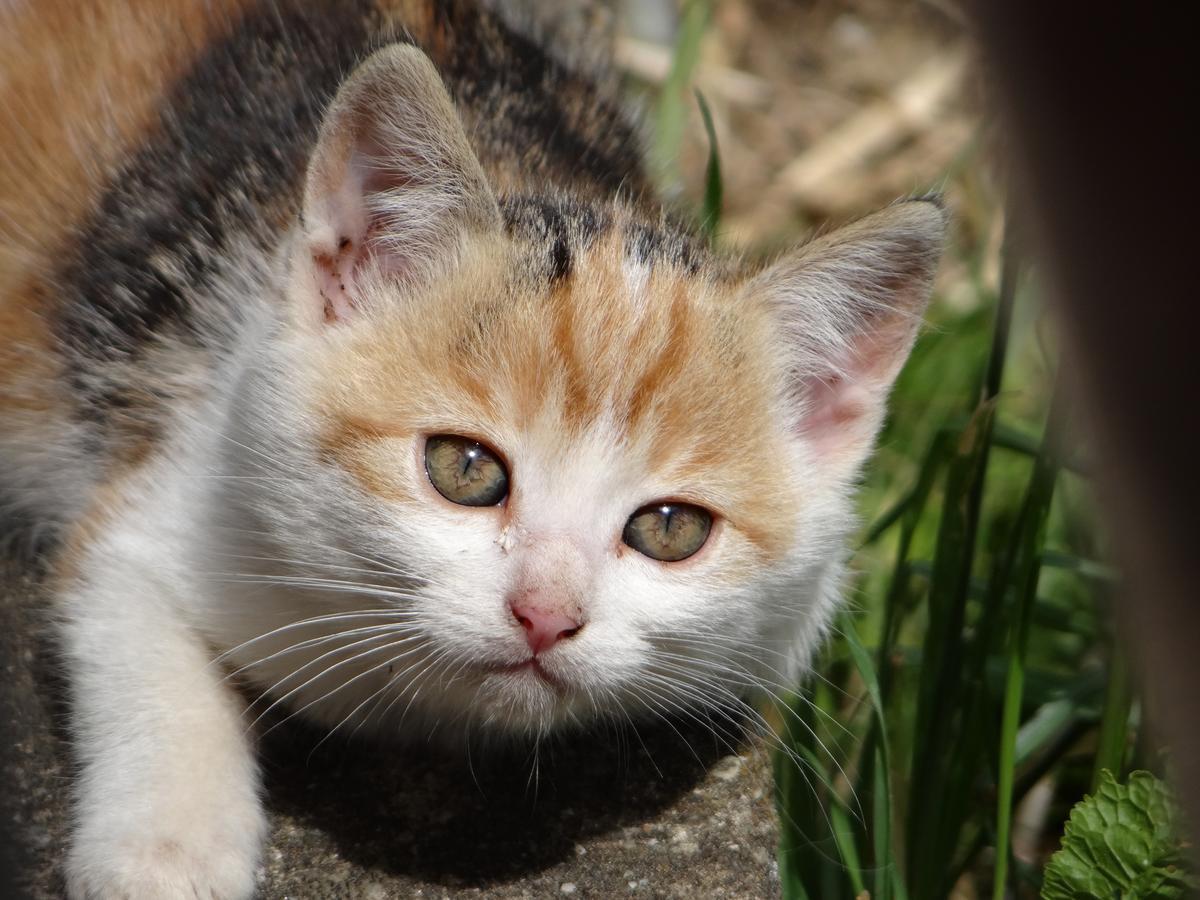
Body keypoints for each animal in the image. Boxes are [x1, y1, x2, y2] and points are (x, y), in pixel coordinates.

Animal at [0, 0, 940, 897]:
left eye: (671, 529)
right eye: (466, 469)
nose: (545, 616)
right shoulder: (180, 470)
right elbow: (139, 634)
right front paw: (165, 853)